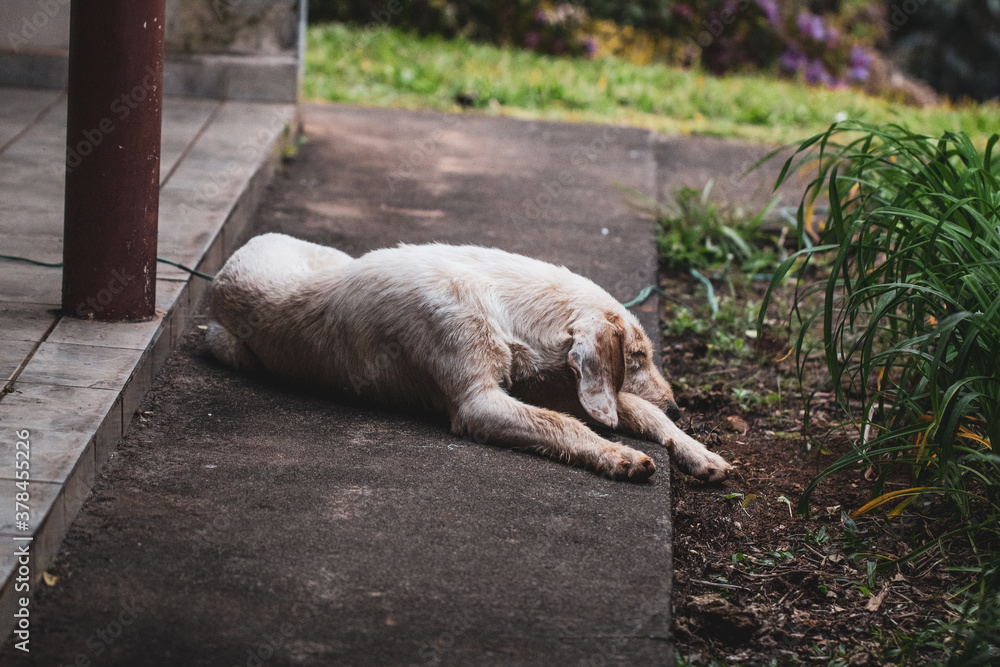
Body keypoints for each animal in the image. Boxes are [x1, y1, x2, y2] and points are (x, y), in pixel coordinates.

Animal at [205, 232, 736, 482]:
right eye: (638, 356)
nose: (679, 407)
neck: (500, 306)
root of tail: (237, 253)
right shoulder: (479, 402)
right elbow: (565, 425)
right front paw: (619, 456)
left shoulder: (557, 381)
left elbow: (641, 414)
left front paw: (701, 453)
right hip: (226, 344)